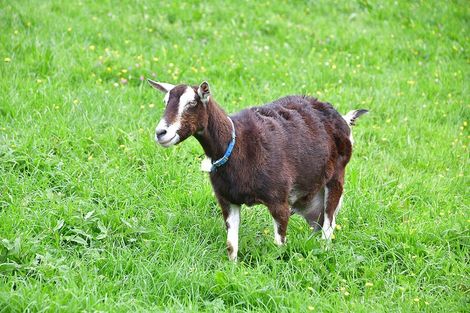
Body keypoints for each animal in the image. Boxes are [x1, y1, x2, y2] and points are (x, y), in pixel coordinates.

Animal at [147, 79, 368, 260]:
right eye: (165, 101)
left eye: (192, 103)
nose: (161, 133)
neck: (236, 144)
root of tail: (342, 118)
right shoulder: (227, 200)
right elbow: (231, 246)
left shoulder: (279, 201)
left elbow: (279, 244)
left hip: (336, 179)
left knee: (328, 226)